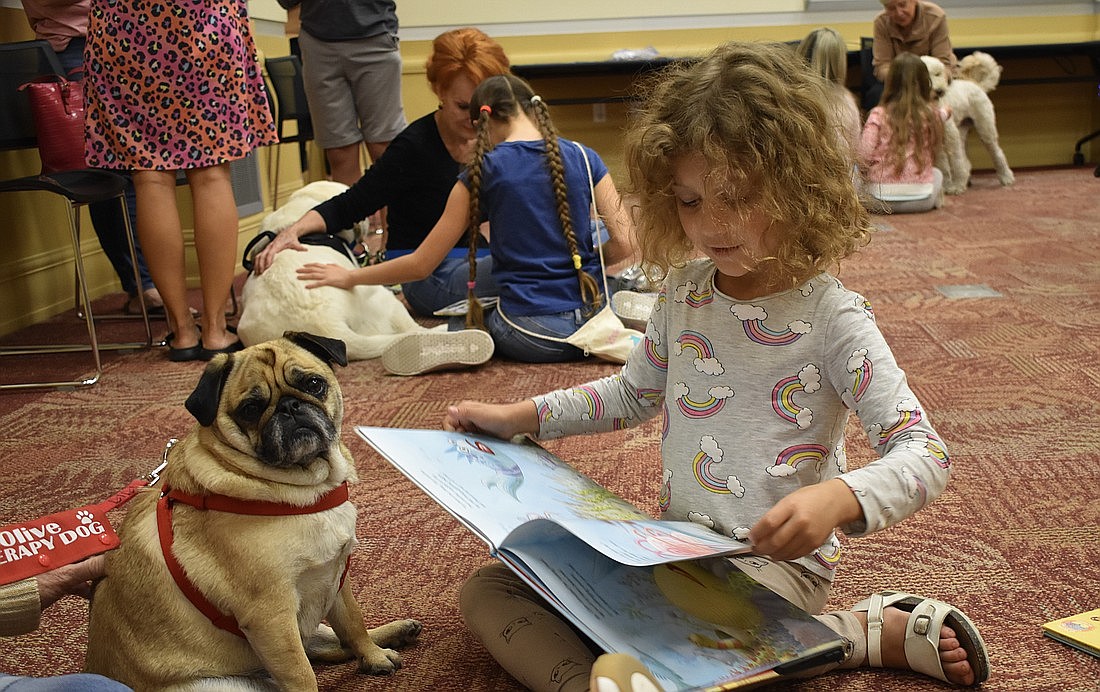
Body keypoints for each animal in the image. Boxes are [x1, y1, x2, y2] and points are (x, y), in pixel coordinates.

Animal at [84, 332, 420, 686]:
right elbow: (303, 676)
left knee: (333, 644)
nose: (289, 406)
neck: (308, 490)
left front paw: (372, 655)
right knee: (318, 654)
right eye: (251, 409)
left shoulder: (336, 578)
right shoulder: (271, 619)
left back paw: (396, 633)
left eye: (314, 384)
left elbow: (353, 625)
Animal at [919, 52, 1012, 192]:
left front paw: (956, 186)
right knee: (965, 159)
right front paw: (946, 185)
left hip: (985, 130)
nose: (940, 91)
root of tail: (977, 85)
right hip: (961, 132)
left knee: (997, 154)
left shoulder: (950, 136)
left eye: (938, 74)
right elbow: (943, 167)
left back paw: (1006, 177)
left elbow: (956, 162)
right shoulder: (936, 142)